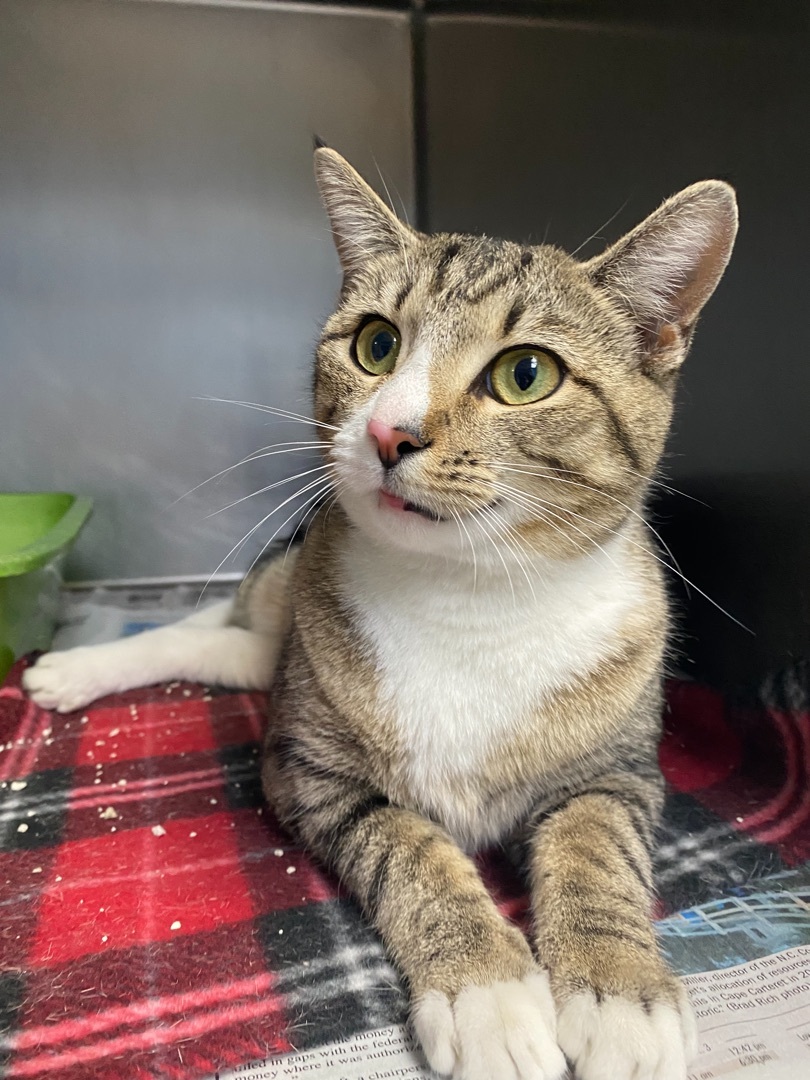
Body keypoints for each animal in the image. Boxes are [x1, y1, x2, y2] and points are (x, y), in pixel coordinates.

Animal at [25, 145, 738, 1080]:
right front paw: (489, 996)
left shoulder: (618, 771)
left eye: (527, 373)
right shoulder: (307, 773)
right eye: (376, 344)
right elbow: (411, 849)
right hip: (287, 621)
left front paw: (622, 995)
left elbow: (597, 851)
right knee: (205, 632)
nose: (388, 432)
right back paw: (74, 669)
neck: (467, 596)